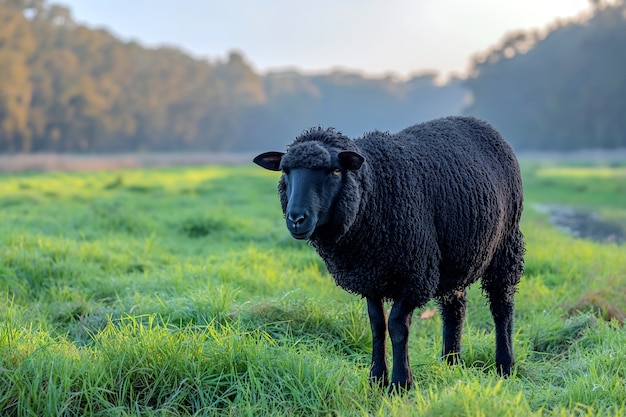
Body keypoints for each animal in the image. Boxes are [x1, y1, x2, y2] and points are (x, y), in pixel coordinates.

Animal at [252, 115, 520, 392]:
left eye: (335, 171)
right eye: (285, 171)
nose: (296, 219)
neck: (374, 191)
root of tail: (481, 124)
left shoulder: (414, 275)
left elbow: (397, 327)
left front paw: (401, 383)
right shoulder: (371, 275)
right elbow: (377, 325)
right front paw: (377, 379)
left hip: (506, 244)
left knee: (502, 306)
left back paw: (505, 366)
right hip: (456, 258)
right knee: (455, 307)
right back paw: (450, 363)